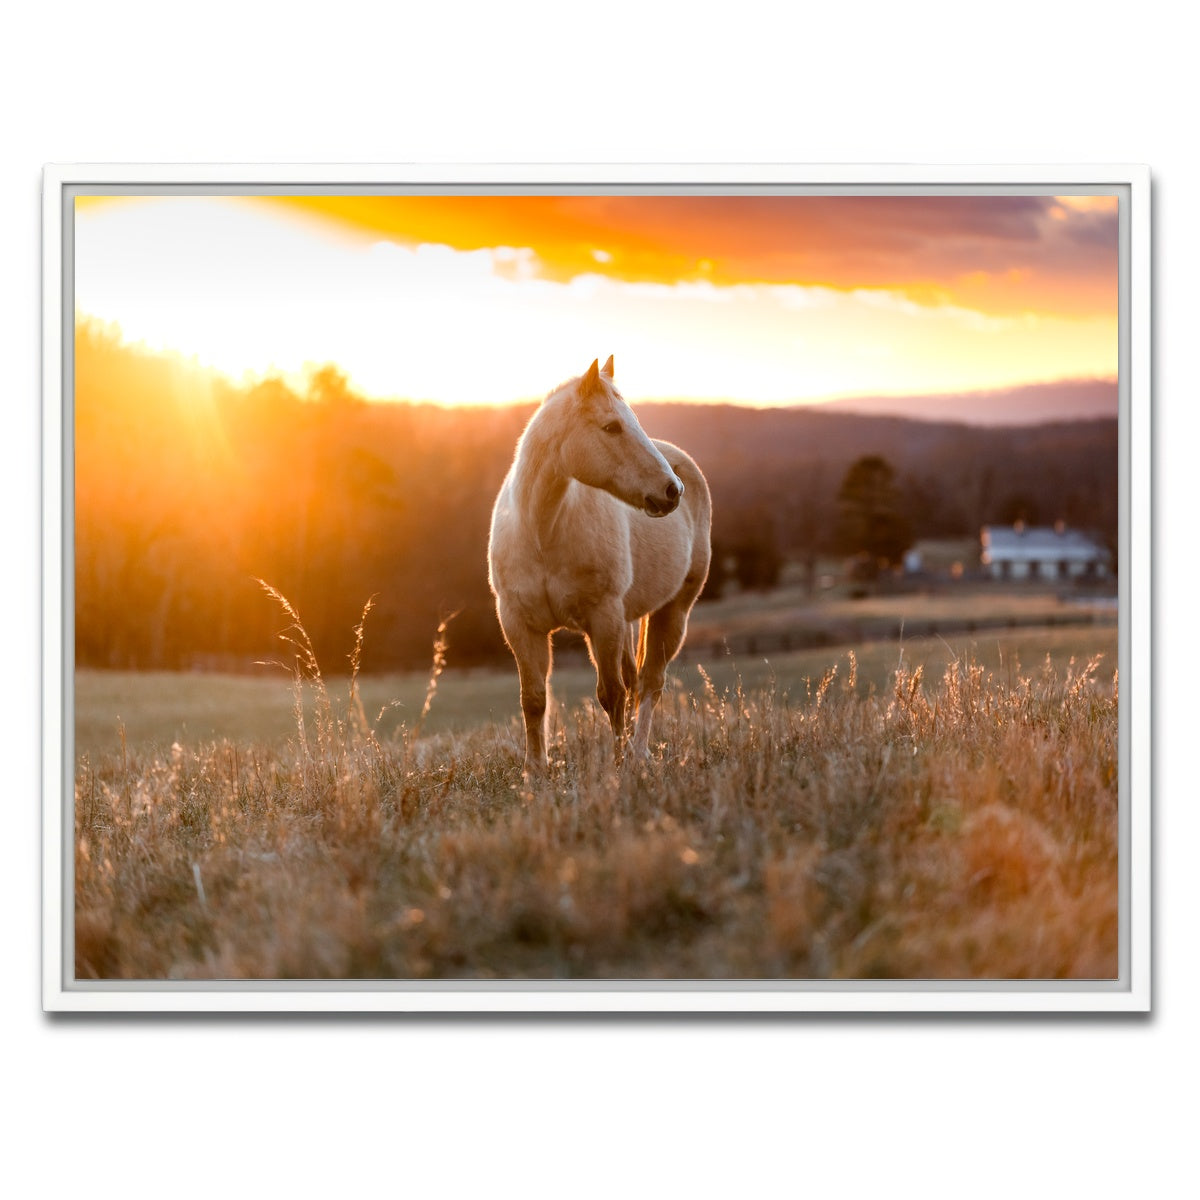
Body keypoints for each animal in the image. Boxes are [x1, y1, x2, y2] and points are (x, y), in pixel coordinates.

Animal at [487, 356, 712, 776]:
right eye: (612, 426)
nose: (671, 491)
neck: (543, 531)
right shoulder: (519, 624)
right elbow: (534, 698)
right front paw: (534, 770)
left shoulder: (602, 618)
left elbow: (612, 694)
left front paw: (618, 764)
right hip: (628, 618)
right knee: (637, 679)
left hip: (672, 612)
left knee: (650, 682)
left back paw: (639, 752)